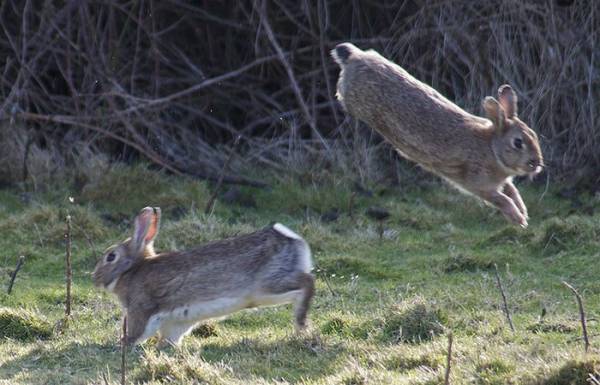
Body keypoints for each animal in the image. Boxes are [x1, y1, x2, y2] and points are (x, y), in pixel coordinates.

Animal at [94, 207, 314, 344]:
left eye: (111, 257)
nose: (94, 278)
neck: (131, 271)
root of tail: (293, 240)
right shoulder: (175, 323)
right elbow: (170, 337)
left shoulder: (141, 308)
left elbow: (138, 331)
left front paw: (124, 343)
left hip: (269, 284)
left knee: (307, 282)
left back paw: (301, 323)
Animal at [332, 42, 544, 226]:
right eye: (518, 143)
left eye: (534, 135)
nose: (537, 163)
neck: (492, 148)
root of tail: (354, 57)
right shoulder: (479, 185)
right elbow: (502, 199)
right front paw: (519, 220)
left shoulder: (502, 181)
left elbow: (513, 192)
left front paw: (524, 213)